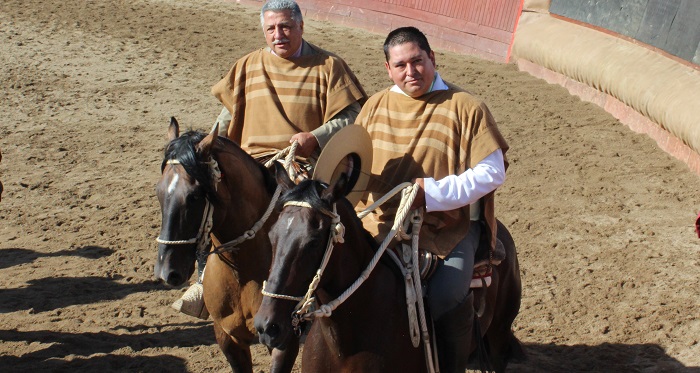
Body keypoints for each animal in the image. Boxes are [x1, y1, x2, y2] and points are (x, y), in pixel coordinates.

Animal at [156, 118, 298, 372]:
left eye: (194, 195)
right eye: (158, 192)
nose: (166, 272)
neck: (243, 271)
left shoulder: (284, 342)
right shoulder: (228, 337)